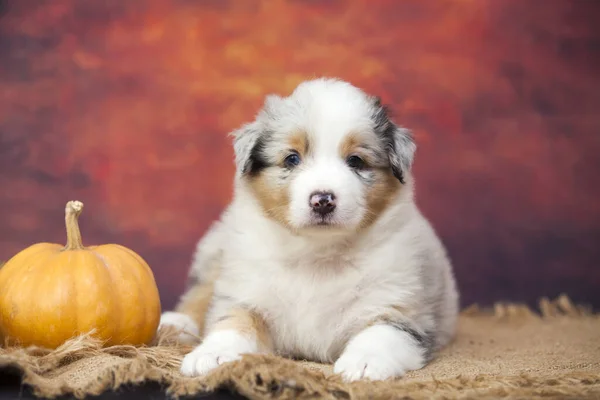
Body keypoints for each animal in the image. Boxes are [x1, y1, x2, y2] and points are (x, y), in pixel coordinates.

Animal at [159, 77, 460, 382]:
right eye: (292, 159)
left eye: (356, 161)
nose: (323, 200)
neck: (318, 253)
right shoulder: (247, 293)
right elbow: (233, 321)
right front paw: (213, 354)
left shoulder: (401, 306)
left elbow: (382, 334)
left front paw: (364, 363)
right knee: (201, 290)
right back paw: (175, 323)